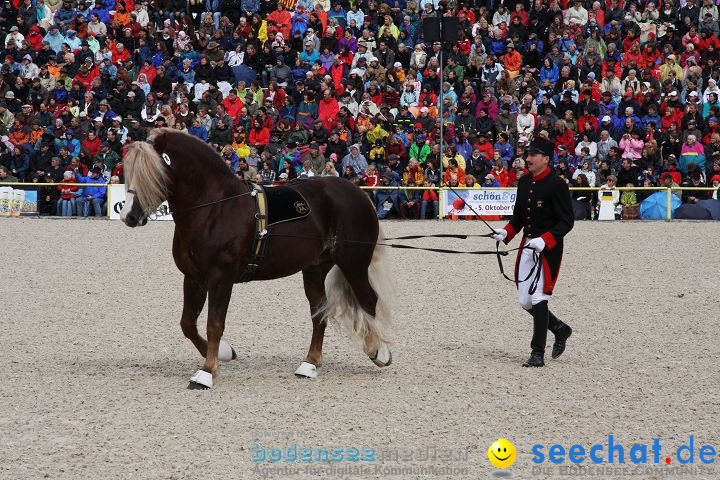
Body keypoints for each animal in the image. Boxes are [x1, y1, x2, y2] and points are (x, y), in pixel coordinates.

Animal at [121, 128, 390, 390]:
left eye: (151, 172)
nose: (128, 216)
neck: (215, 209)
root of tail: (358, 193)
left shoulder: (221, 277)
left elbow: (214, 323)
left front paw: (206, 372)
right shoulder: (194, 277)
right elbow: (188, 323)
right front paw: (225, 353)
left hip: (353, 263)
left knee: (369, 300)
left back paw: (379, 352)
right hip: (314, 269)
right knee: (319, 312)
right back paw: (310, 364)